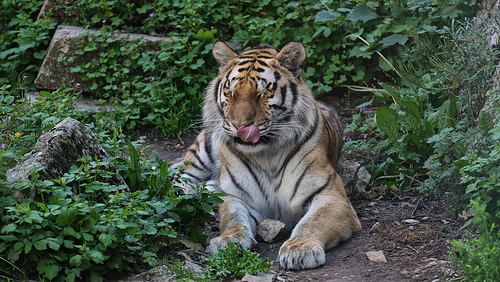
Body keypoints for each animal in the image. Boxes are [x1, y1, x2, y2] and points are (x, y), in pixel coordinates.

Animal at [180, 40, 360, 270]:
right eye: (231, 93)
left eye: (263, 93)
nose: (240, 126)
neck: (266, 155)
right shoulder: (237, 197)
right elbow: (232, 218)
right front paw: (227, 240)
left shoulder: (332, 196)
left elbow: (313, 221)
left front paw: (300, 248)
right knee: (180, 179)